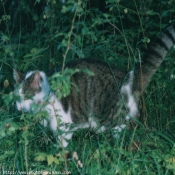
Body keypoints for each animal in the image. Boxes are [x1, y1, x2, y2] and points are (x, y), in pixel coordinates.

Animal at [13, 23, 175, 148]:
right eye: (16, 98)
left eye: (26, 97)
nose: (19, 108)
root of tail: (129, 76)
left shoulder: (64, 125)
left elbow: (62, 147)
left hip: (114, 120)